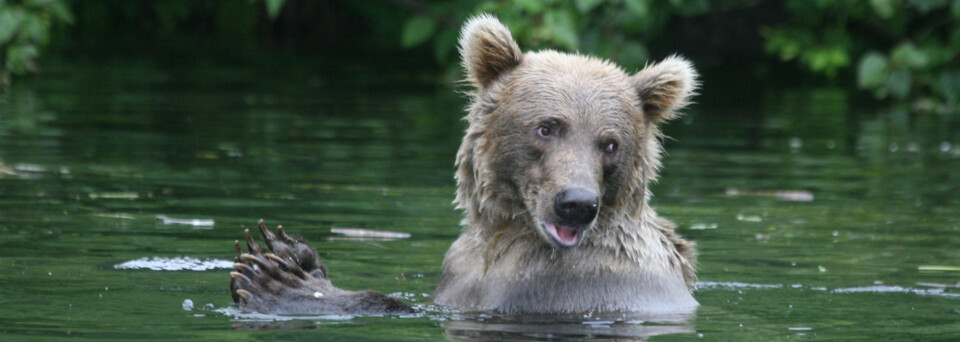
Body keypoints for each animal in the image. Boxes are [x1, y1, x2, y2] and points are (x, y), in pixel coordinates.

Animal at [230, 14, 700, 316]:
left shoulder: (562, 288)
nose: (576, 204)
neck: (507, 233)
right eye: (547, 127)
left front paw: (280, 284)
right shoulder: (460, 273)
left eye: (610, 143)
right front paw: (288, 251)